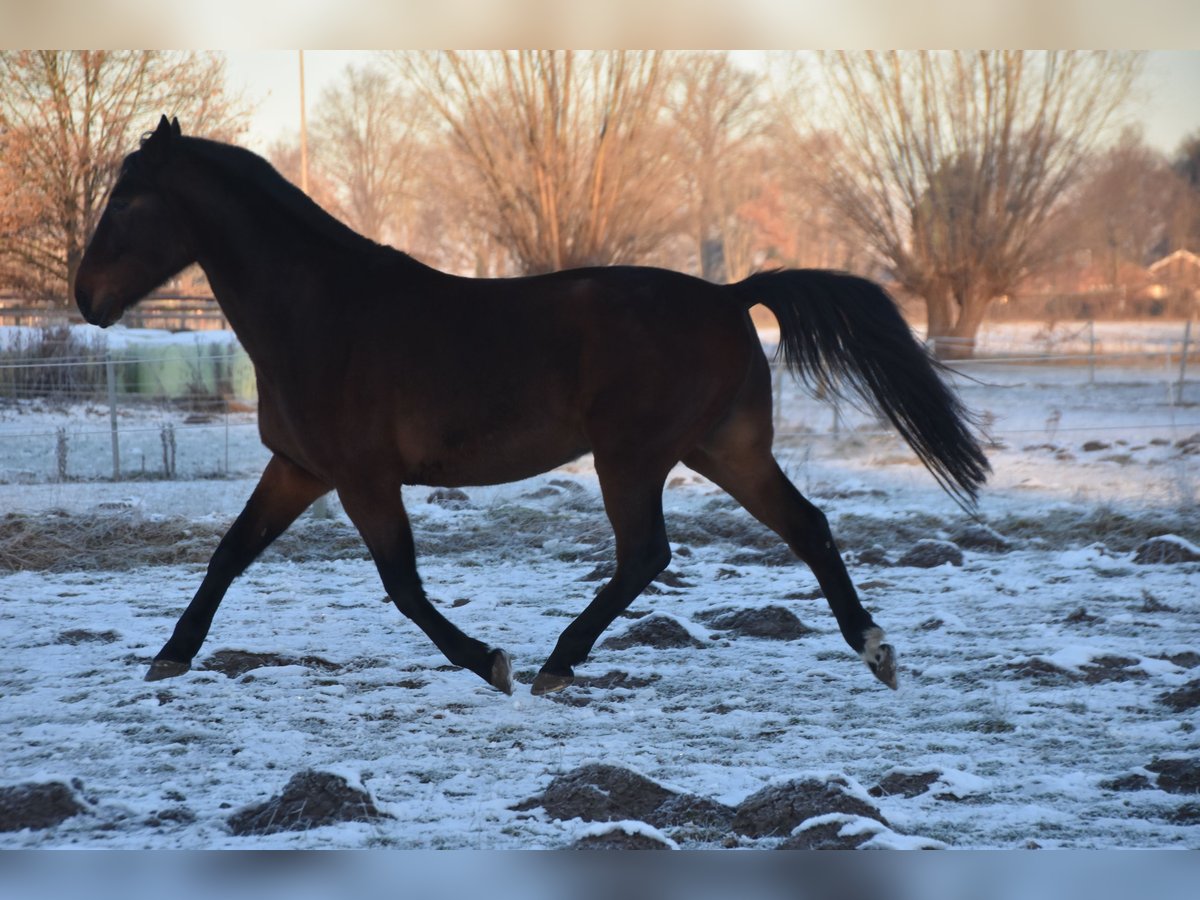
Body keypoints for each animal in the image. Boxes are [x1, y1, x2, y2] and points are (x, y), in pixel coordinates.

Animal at [77, 116, 993, 696]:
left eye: (122, 202)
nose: (85, 297)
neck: (320, 311)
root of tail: (730, 294)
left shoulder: (363, 478)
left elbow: (402, 585)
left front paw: (491, 662)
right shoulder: (299, 468)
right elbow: (230, 553)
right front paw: (168, 658)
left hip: (633, 456)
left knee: (646, 554)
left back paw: (557, 662)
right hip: (724, 450)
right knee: (805, 526)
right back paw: (874, 650)